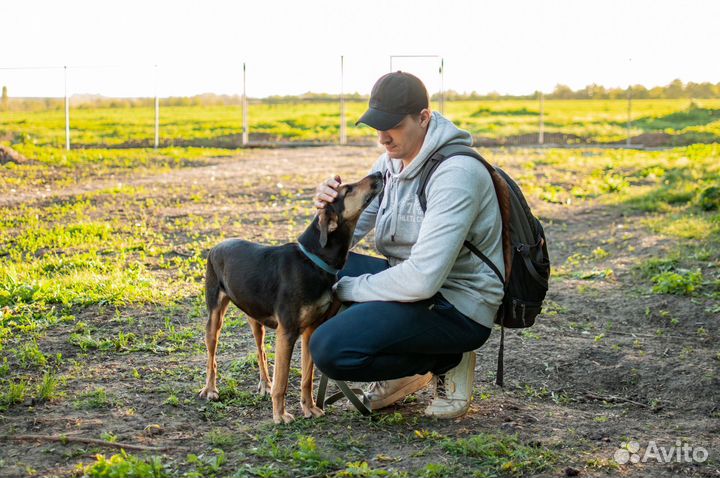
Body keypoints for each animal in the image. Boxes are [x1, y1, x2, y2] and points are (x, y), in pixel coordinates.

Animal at [198, 171, 382, 422]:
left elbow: (307, 377)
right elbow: (283, 381)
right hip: (215, 317)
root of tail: (219, 244)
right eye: (347, 190)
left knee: (261, 351)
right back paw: (210, 389)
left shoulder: (310, 330)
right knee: (212, 356)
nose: (379, 173)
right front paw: (280, 415)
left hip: (256, 320)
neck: (314, 260)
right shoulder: (287, 331)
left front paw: (309, 408)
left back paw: (265, 384)